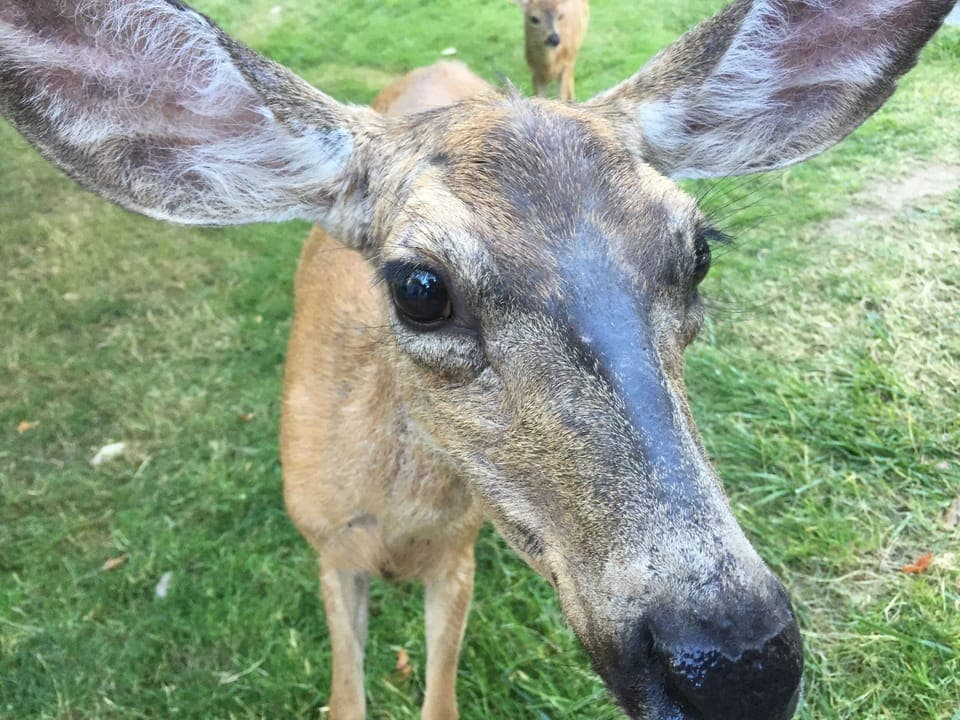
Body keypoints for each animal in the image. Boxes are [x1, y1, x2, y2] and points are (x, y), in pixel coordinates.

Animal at [1, 1, 955, 719]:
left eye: (698, 251)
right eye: (420, 286)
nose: (735, 665)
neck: (390, 519)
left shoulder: (458, 552)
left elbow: (442, 700)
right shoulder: (326, 550)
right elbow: (345, 700)